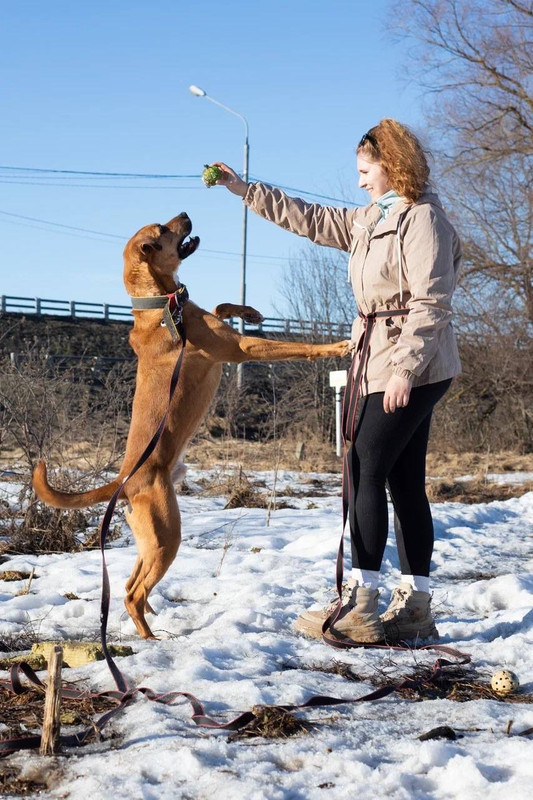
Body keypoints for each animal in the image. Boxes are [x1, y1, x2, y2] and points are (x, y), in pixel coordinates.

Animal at [33, 213, 349, 639]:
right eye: (163, 230)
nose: (185, 214)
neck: (163, 305)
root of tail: (123, 482)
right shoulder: (240, 349)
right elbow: (297, 348)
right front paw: (338, 345)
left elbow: (221, 304)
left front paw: (249, 312)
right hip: (167, 536)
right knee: (132, 594)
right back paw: (152, 639)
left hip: (151, 542)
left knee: (131, 586)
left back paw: (152, 617)